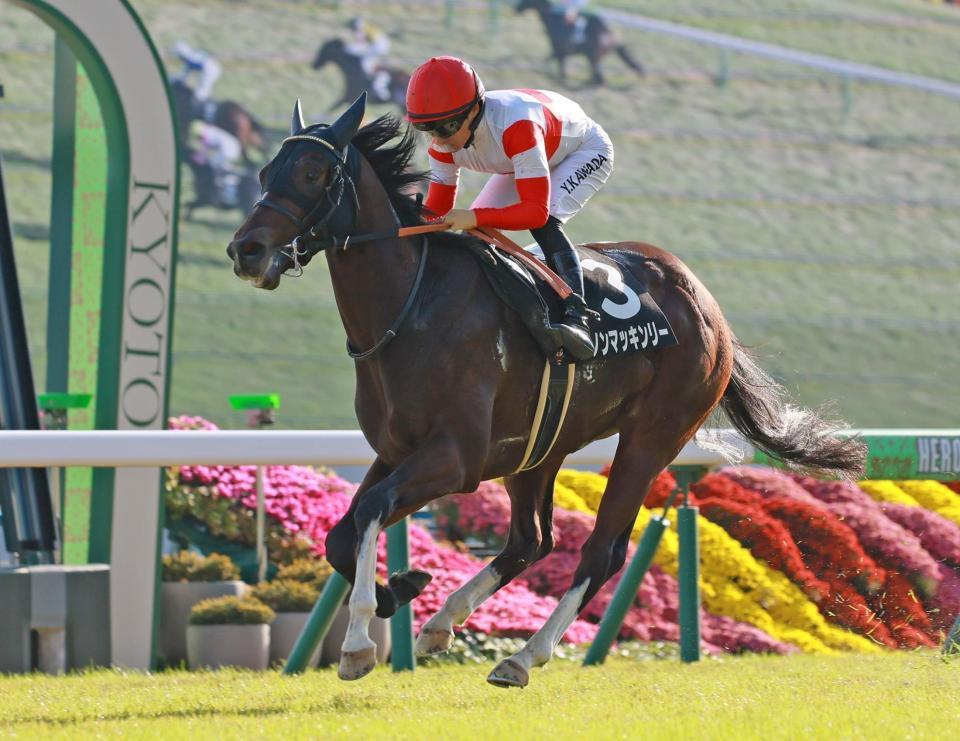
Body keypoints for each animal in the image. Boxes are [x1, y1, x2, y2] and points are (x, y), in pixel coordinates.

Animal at [229, 94, 868, 688]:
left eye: (314, 173)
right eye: (264, 172)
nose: (246, 250)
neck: (411, 310)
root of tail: (705, 302)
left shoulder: (454, 458)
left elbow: (368, 512)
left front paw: (361, 641)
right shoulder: (396, 451)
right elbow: (344, 532)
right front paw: (402, 589)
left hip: (651, 439)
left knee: (600, 550)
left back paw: (522, 656)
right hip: (538, 448)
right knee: (530, 539)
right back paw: (444, 622)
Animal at [516, 0, 644, 86]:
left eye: (527, 0)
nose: (517, 8)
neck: (555, 20)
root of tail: (612, 37)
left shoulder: (559, 49)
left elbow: (557, 65)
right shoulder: (559, 51)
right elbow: (552, 61)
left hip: (593, 57)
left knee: (599, 79)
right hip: (594, 59)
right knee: (597, 77)